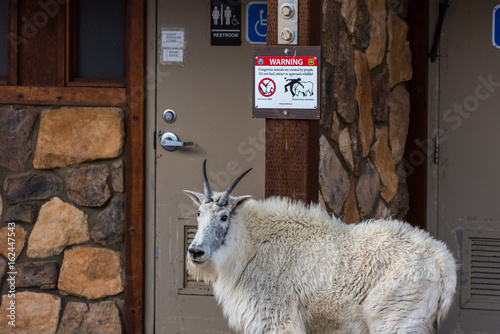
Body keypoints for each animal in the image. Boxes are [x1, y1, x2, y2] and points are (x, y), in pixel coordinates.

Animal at [184, 160, 458, 332]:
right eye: (198, 213)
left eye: (223, 217)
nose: (196, 251)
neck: (252, 244)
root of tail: (445, 263)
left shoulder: (276, 316)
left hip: (397, 319)